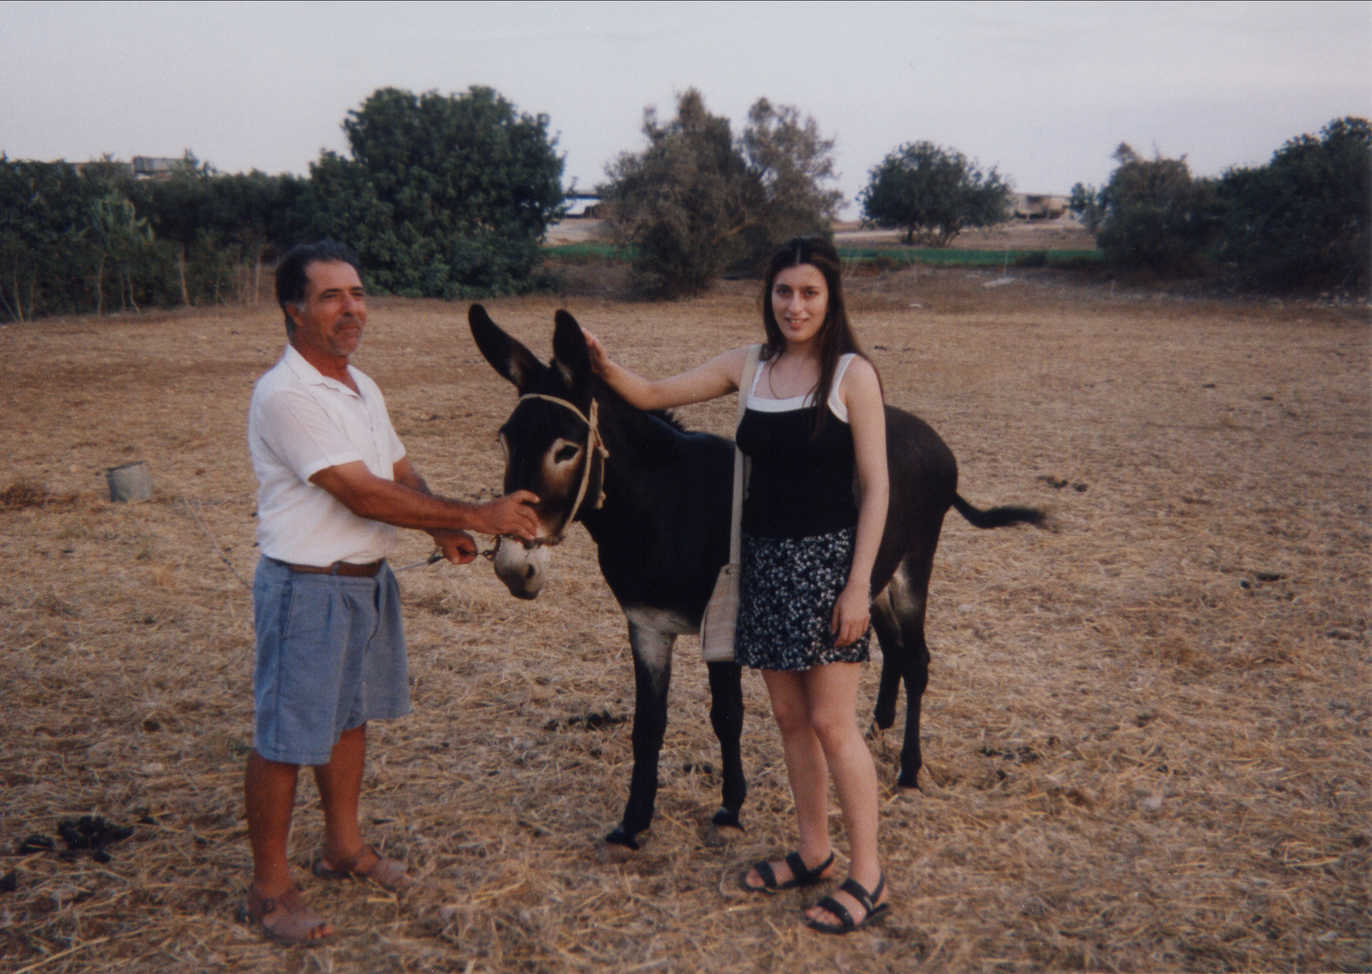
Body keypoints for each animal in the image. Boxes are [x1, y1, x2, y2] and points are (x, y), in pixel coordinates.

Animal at [469, 304, 1044, 849]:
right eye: (504, 441)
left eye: (565, 450)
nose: (512, 568)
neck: (664, 504)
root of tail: (931, 437)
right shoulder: (647, 626)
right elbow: (647, 725)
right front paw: (633, 823)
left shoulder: (721, 624)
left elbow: (726, 714)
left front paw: (730, 807)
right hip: (869, 584)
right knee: (895, 650)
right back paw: (878, 729)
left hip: (912, 569)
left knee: (918, 659)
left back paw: (908, 769)